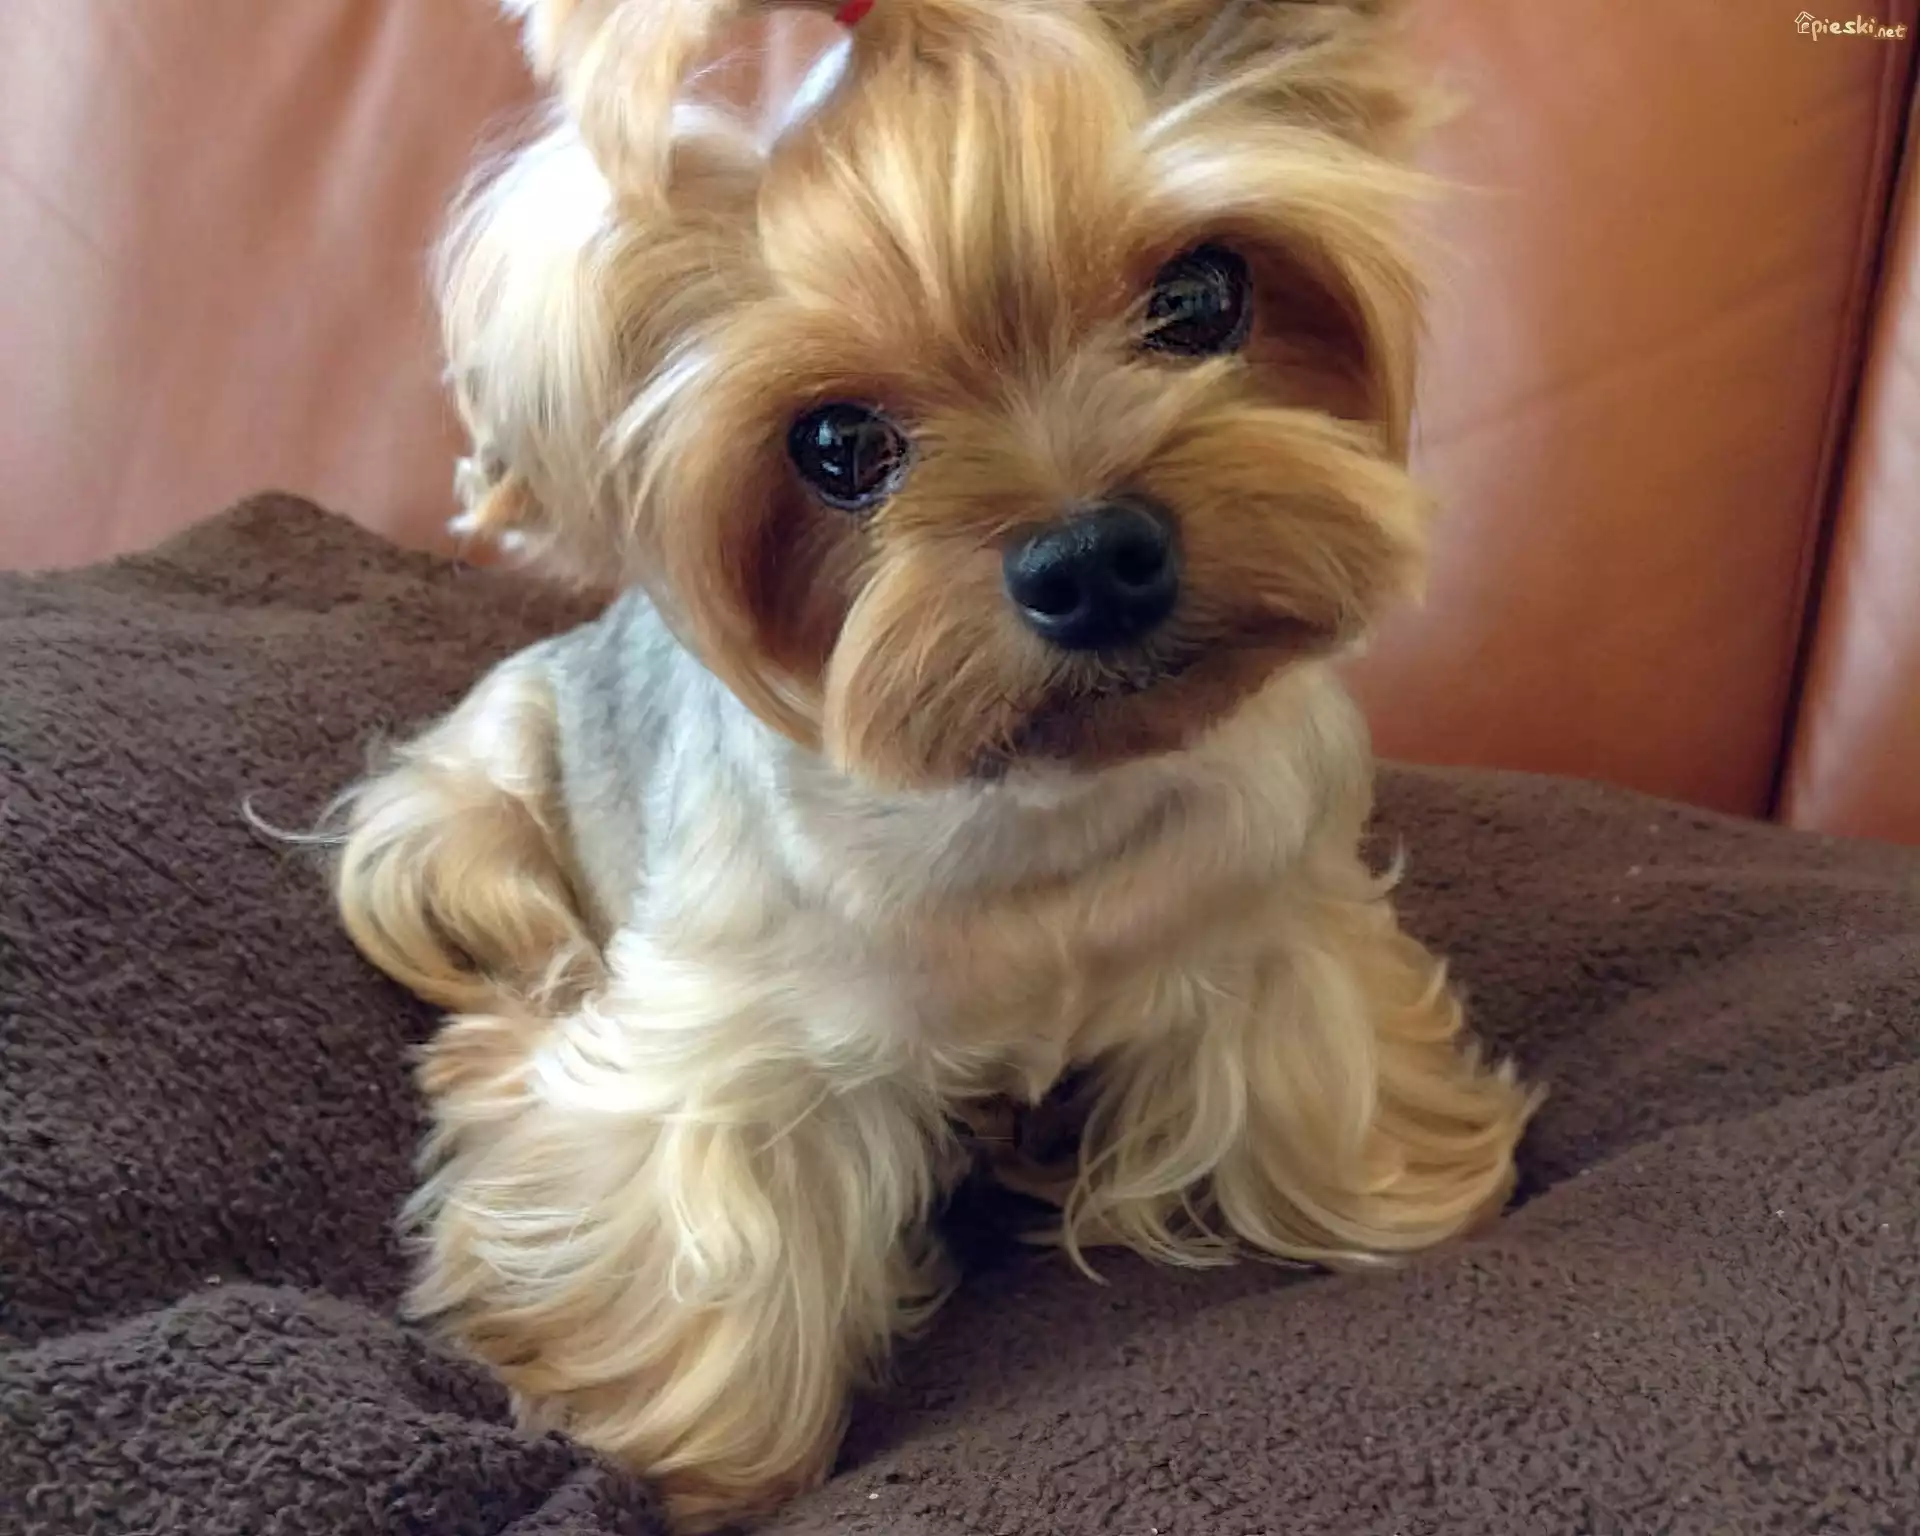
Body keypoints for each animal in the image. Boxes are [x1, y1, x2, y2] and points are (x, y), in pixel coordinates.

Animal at [331, 1, 1540, 1527]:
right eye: (839, 445)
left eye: (1201, 298)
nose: (1091, 559)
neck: (1038, 803)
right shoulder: (736, 1035)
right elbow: (706, 1236)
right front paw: (669, 1455)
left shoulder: (1277, 914)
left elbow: (1320, 1070)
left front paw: (1403, 1200)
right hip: (451, 821)